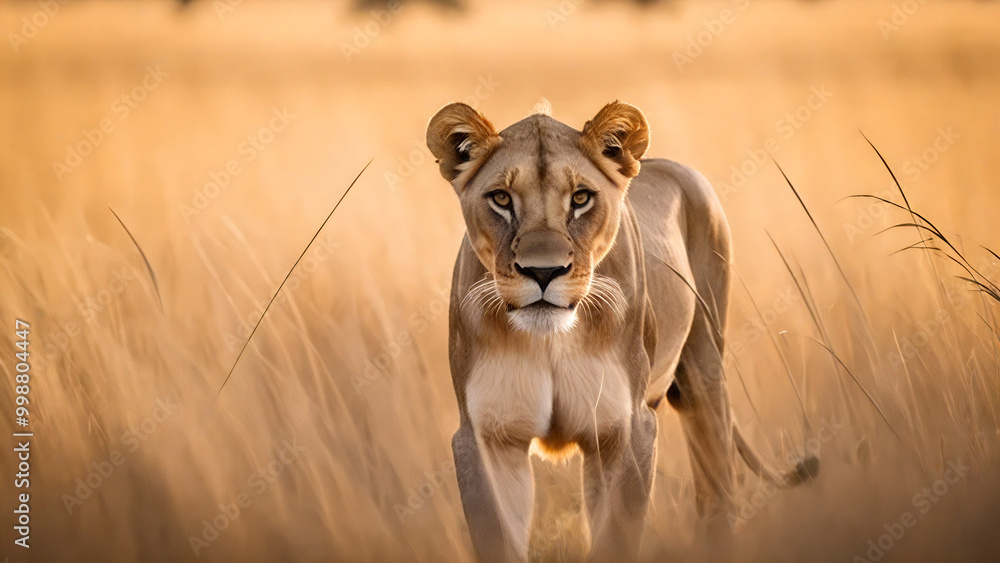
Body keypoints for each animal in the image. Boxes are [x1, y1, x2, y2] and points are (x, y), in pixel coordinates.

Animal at [426, 100, 818, 562]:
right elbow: (498, 538)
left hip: (704, 367)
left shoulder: (626, 427)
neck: (552, 340)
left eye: (581, 198)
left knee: (718, 489)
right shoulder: (486, 436)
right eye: (501, 199)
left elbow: (617, 535)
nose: (543, 272)